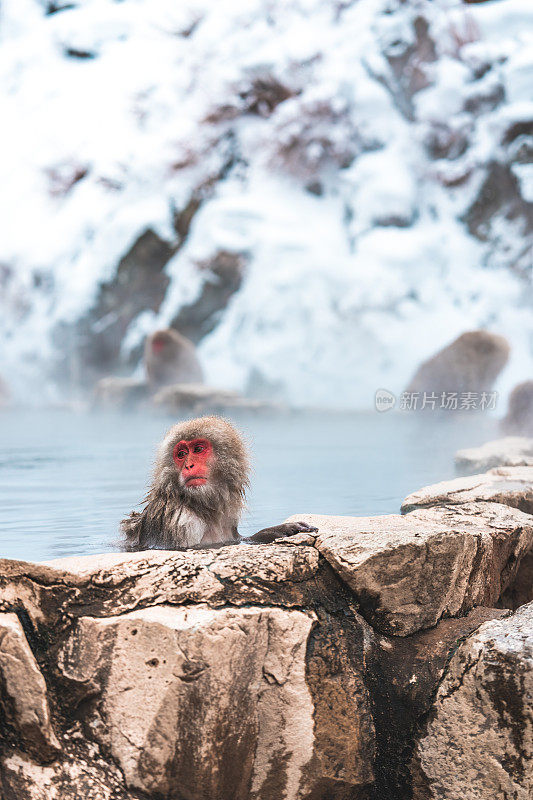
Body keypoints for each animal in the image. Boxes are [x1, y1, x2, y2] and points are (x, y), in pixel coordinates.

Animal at [121, 412, 316, 552]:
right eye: (181, 454)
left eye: (198, 449)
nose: (189, 465)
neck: (196, 504)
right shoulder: (179, 520)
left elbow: (237, 539)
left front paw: (273, 531)